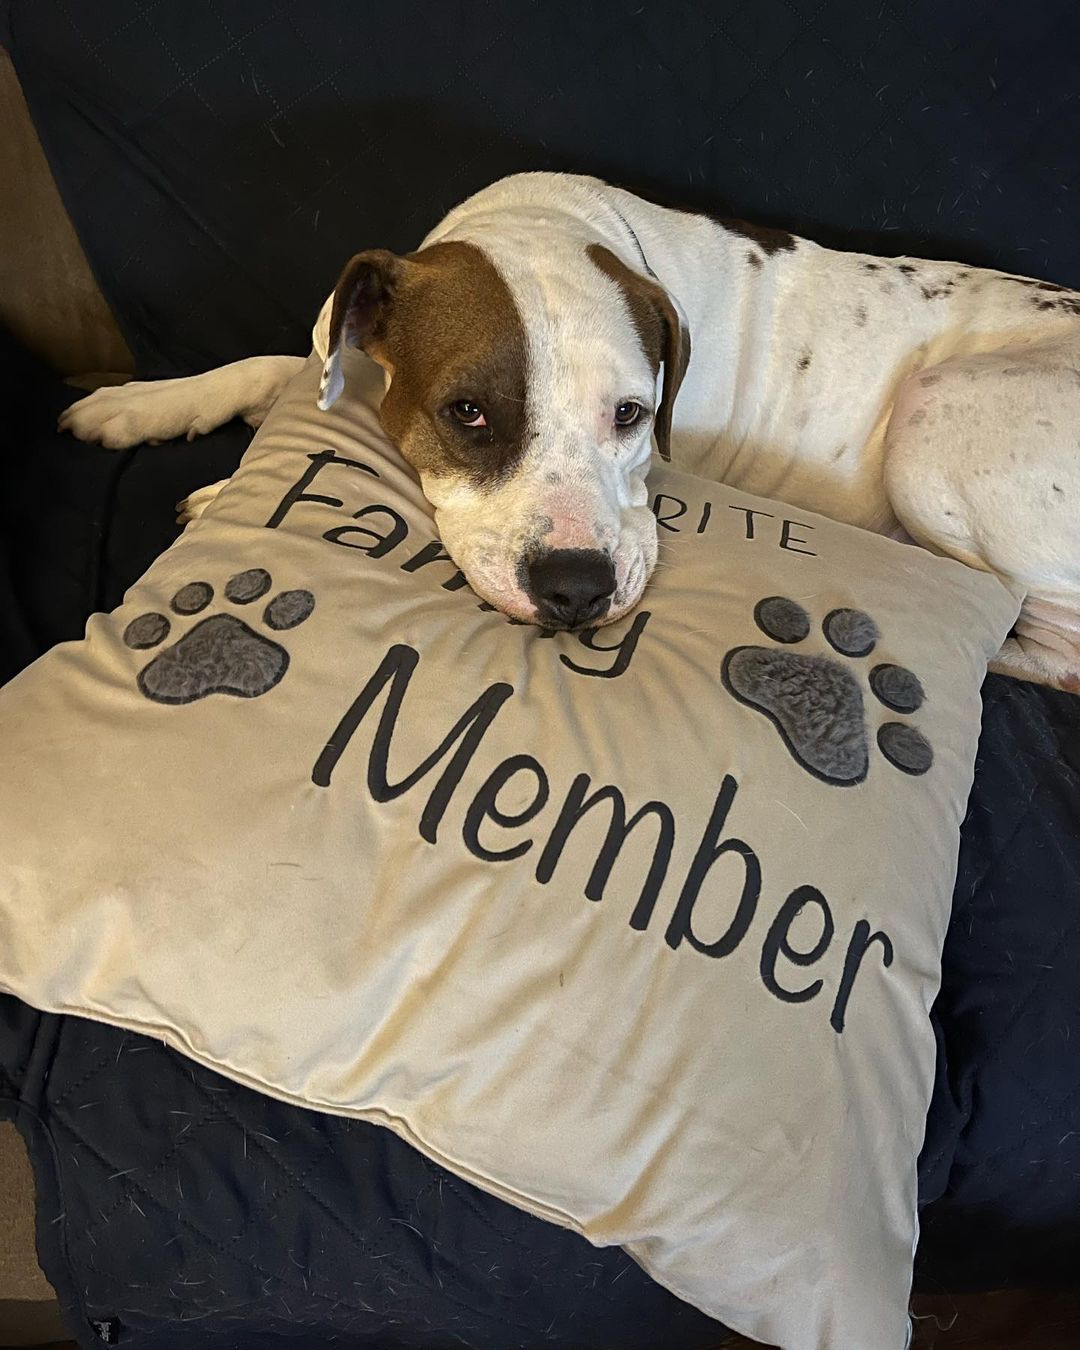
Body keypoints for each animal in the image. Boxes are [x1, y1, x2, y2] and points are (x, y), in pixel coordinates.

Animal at [61, 172, 1080, 691]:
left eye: (629, 415)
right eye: (468, 413)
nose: (577, 589)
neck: (547, 219)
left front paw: (209, 490)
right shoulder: (350, 360)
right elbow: (273, 366)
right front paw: (141, 404)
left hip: (936, 417)